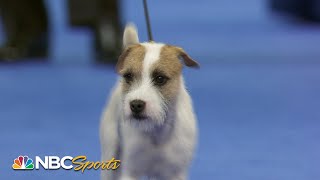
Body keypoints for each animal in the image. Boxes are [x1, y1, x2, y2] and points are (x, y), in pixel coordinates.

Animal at [100, 23, 200, 179]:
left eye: (160, 78)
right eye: (128, 76)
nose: (136, 105)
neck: (157, 132)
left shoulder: (175, 173)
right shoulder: (131, 172)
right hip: (110, 154)